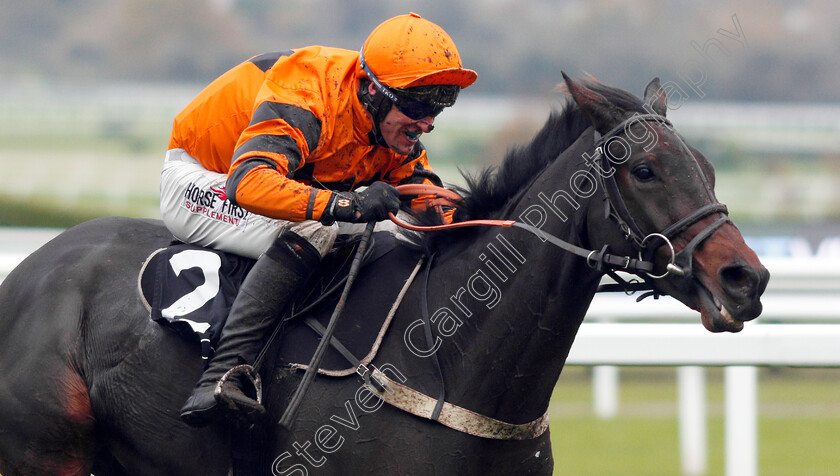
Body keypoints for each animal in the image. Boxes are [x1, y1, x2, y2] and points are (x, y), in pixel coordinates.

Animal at [0, 76, 768, 474]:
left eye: (708, 167)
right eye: (645, 171)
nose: (745, 279)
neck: (445, 358)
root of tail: (29, 270)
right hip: (44, 453)